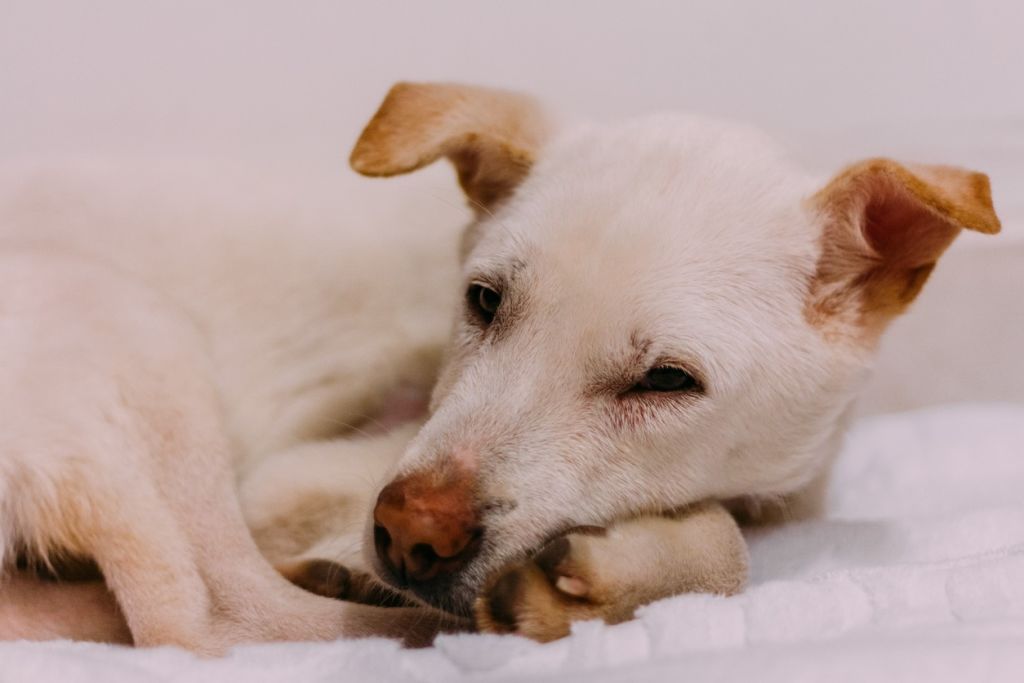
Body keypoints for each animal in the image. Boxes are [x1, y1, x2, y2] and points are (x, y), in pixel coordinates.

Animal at [0, 82, 995, 651]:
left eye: (666, 381)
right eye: (483, 300)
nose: (406, 536)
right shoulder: (292, 481)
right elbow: (729, 546)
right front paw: (608, 584)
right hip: (134, 323)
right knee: (208, 624)